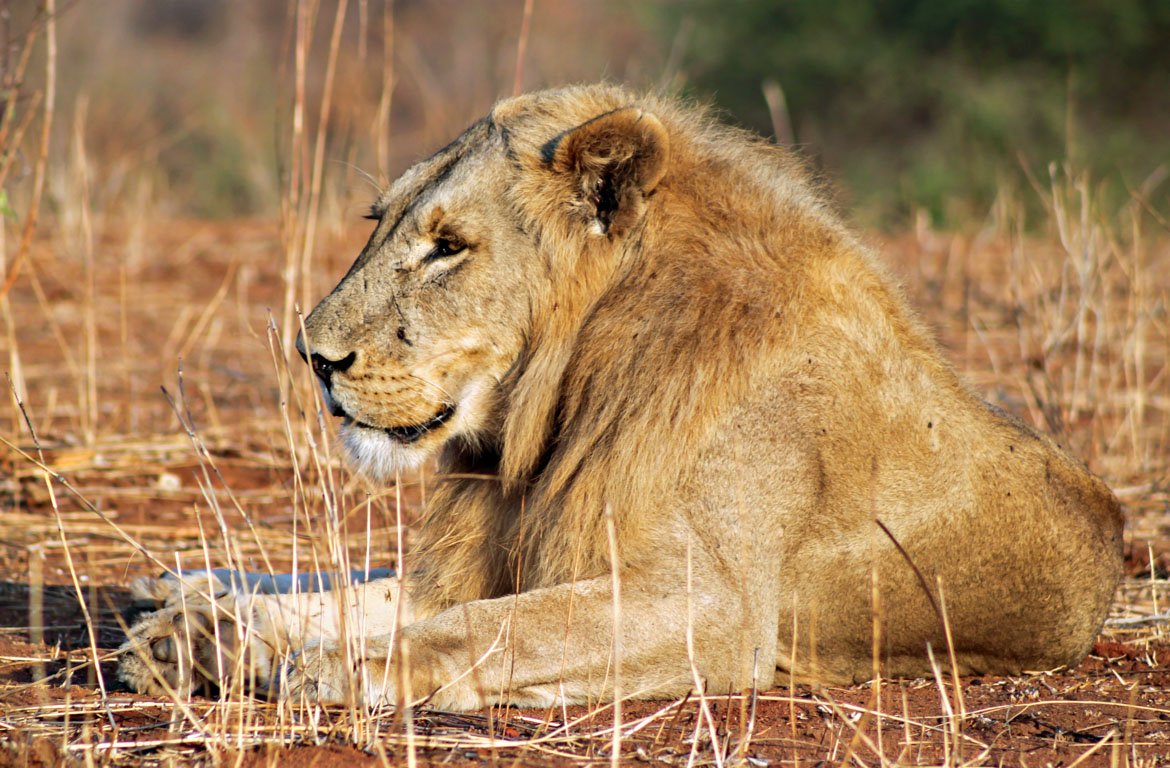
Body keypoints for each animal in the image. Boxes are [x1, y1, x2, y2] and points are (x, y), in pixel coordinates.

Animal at [118, 82, 1123, 707]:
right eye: (381, 223)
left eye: (448, 247)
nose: (312, 354)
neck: (555, 403)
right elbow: (386, 595)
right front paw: (198, 643)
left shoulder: (714, 609)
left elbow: (497, 629)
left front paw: (331, 666)